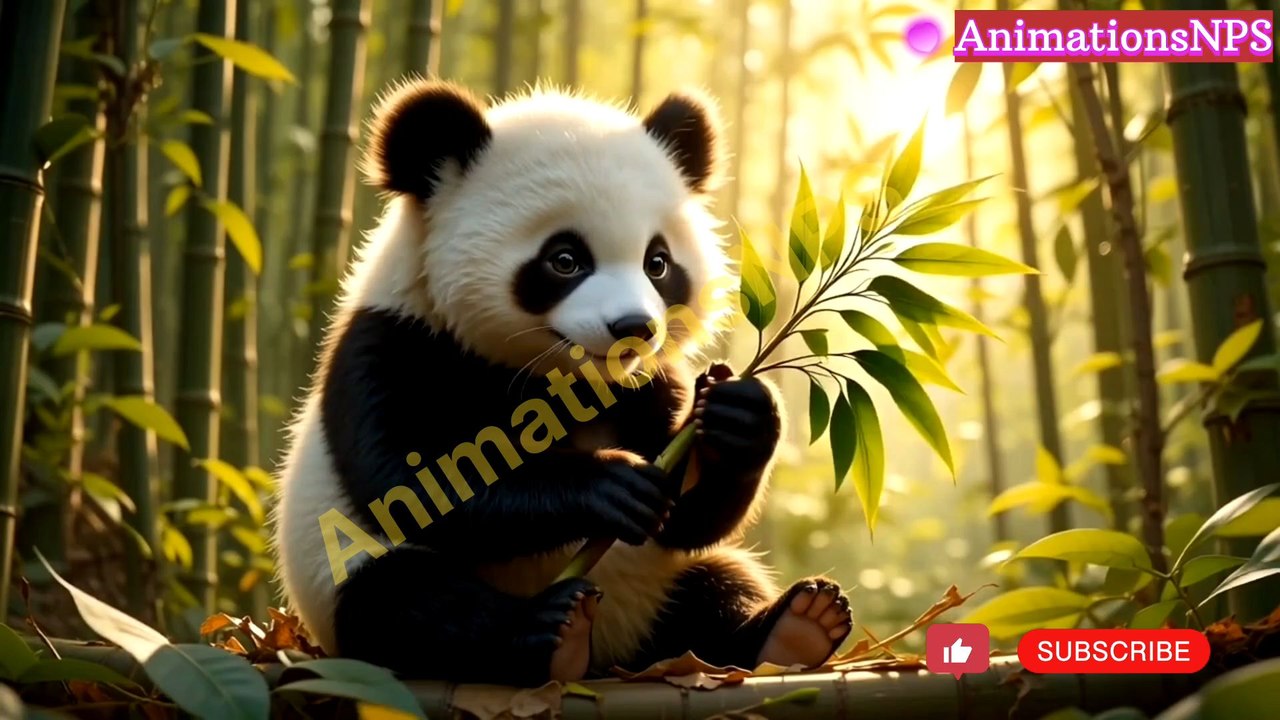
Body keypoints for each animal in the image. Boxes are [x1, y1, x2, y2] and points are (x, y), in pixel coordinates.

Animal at [270, 77, 853, 688]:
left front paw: (737, 416)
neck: (562, 377)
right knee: (409, 605)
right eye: (565, 259)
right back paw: (551, 632)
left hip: (655, 581)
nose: (634, 328)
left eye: (658, 263)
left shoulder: (648, 385)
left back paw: (798, 624)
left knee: (713, 585)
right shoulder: (398, 344)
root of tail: (613, 654)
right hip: (341, 579)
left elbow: (689, 519)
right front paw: (608, 486)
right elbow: (415, 486)